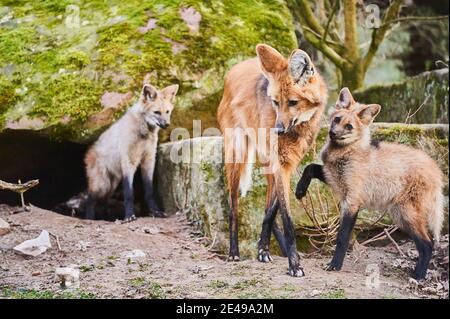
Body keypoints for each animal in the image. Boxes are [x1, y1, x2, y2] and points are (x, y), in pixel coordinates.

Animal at [84, 82, 178, 222]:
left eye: (167, 112)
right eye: (157, 112)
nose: (167, 124)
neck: (143, 133)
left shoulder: (148, 161)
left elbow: (149, 192)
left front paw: (155, 212)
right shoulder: (129, 162)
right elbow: (129, 194)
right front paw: (129, 216)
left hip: (111, 185)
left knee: (103, 202)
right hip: (102, 184)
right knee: (90, 199)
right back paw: (89, 218)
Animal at [217, 43, 326, 276]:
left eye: (293, 102)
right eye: (276, 102)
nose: (277, 130)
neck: (298, 128)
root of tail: (233, 70)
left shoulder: (287, 163)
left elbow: (272, 211)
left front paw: (263, 249)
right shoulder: (280, 163)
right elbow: (286, 219)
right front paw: (294, 265)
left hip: (266, 163)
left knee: (268, 203)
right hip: (237, 156)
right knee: (233, 206)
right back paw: (233, 252)